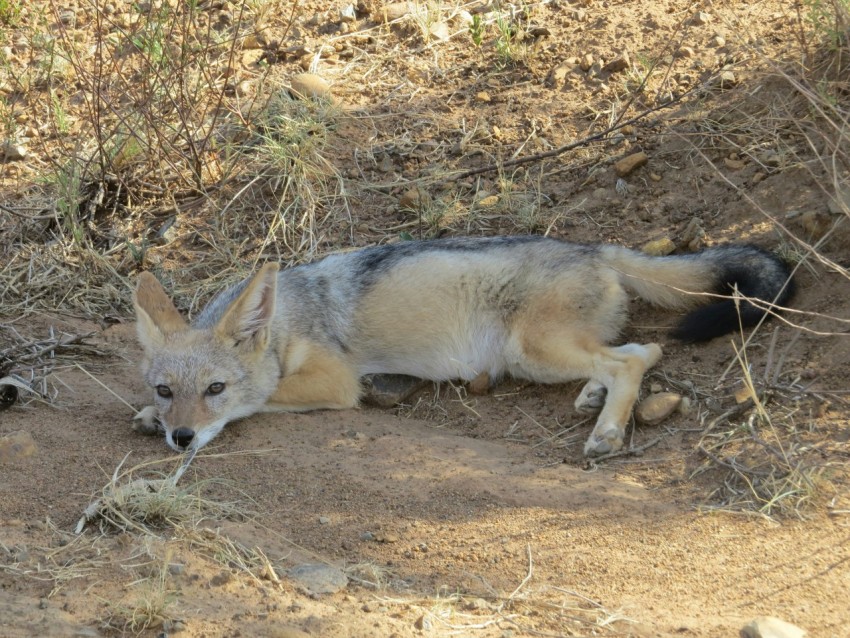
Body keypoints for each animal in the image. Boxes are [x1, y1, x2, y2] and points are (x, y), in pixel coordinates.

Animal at [133, 236, 794, 456]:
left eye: (215, 389)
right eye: (165, 389)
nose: (181, 438)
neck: (291, 318)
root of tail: (596, 248)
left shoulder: (335, 382)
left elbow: (261, 397)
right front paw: (144, 417)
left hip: (532, 352)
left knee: (635, 357)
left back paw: (606, 433)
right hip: (548, 355)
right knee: (637, 354)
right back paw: (592, 401)